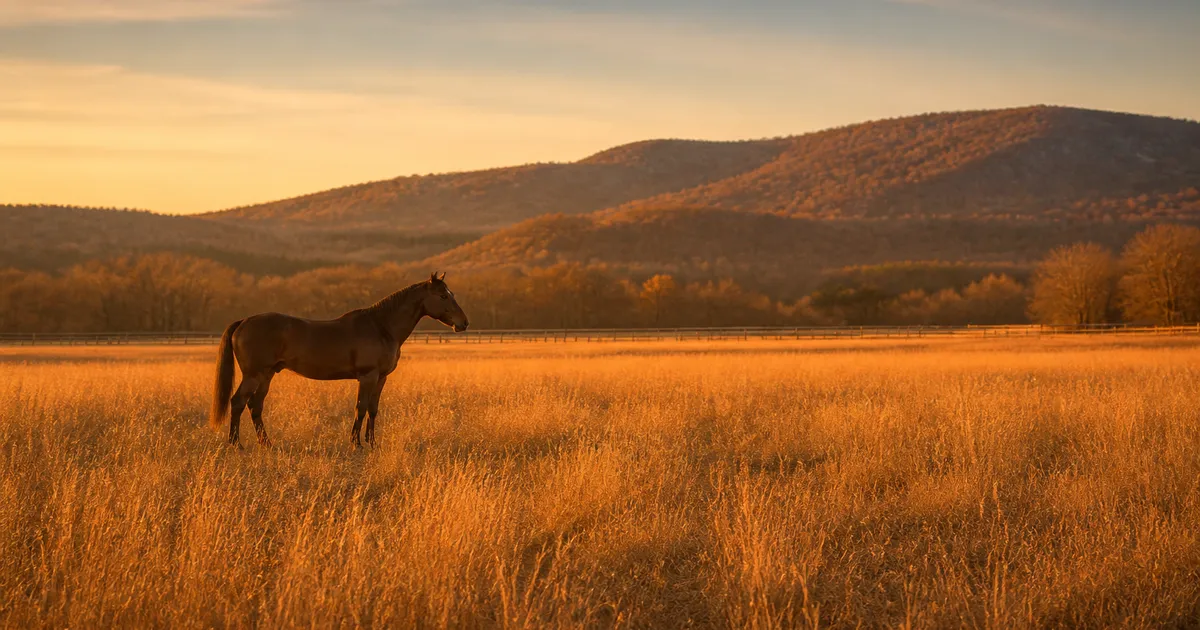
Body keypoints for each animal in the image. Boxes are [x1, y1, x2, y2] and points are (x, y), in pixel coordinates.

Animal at [209, 272, 469, 448]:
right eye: (443, 295)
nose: (464, 323)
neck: (381, 326)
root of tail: (244, 321)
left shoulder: (381, 378)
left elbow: (373, 409)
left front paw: (372, 442)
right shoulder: (367, 377)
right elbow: (360, 407)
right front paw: (356, 443)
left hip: (267, 375)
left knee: (255, 406)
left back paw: (267, 444)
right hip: (254, 375)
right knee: (238, 402)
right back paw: (236, 444)